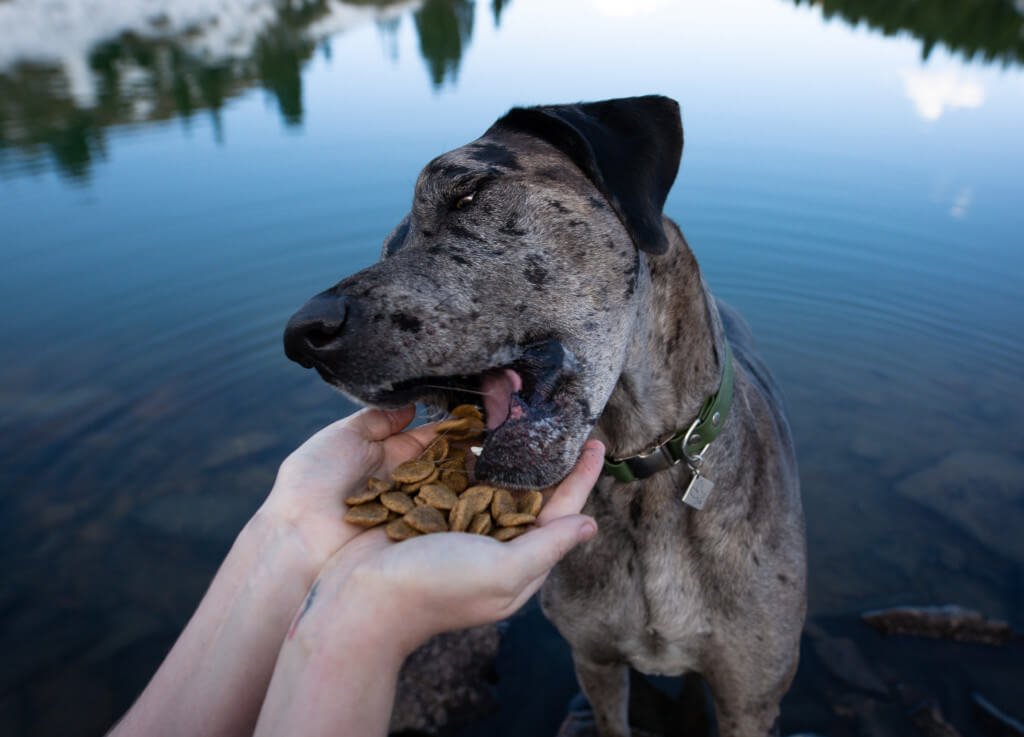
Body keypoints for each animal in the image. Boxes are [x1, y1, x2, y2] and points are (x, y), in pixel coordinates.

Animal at [282, 96, 806, 737]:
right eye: (387, 249)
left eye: (467, 194)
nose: (302, 335)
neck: (643, 483)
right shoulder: (595, 663)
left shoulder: (749, 701)